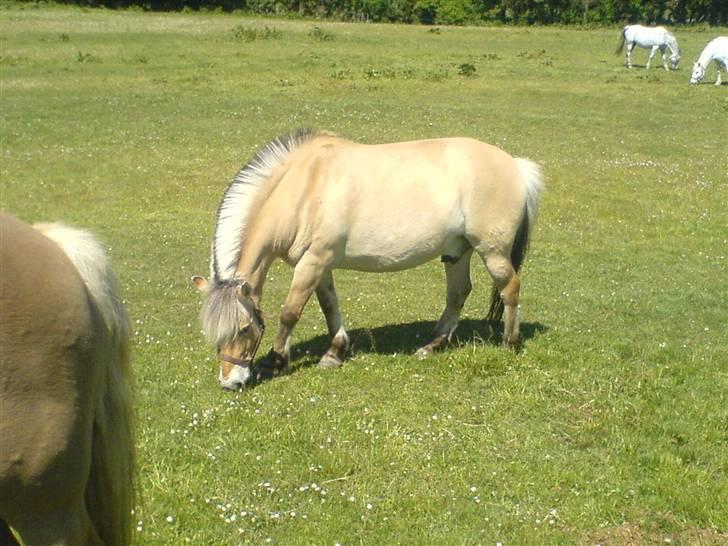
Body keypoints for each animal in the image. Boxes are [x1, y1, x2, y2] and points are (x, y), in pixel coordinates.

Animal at [191, 130, 544, 388]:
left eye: (244, 328)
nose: (230, 382)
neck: (304, 188)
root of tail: (515, 165)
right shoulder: (320, 264)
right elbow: (329, 306)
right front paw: (334, 353)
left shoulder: (313, 262)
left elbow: (290, 313)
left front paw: (275, 360)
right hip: (457, 252)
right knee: (458, 294)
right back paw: (431, 346)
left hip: (492, 252)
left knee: (509, 288)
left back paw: (509, 343)